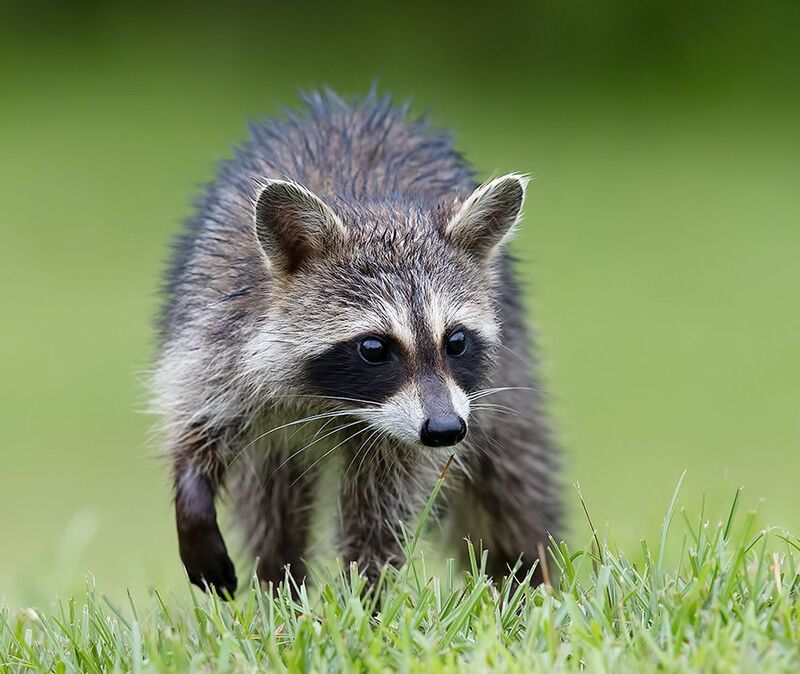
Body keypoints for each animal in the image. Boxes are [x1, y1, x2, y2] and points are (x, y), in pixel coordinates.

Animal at [153, 89, 561, 597]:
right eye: (374, 348)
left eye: (456, 341)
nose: (446, 430)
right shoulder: (217, 332)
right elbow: (196, 425)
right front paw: (191, 496)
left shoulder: (423, 422)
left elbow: (380, 512)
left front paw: (365, 596)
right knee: (271, 507)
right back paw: (278, 585)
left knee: (514, 482)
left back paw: (529, 579)